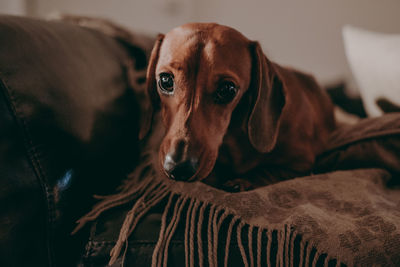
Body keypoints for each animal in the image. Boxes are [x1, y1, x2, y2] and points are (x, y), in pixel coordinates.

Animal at [141, 22, 334, 191]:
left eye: (228, 89)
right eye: (165, 80)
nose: (178, 168)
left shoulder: (301, 164)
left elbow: (267, 171)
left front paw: (241, 182)